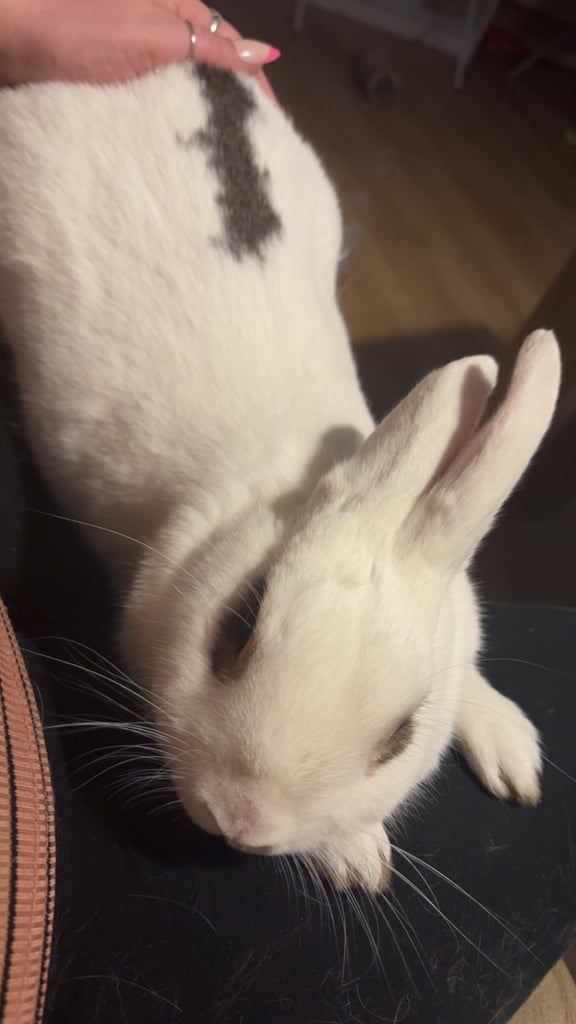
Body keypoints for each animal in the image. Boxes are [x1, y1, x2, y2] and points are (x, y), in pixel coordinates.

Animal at [0, 62, 561, 892]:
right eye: (238, 623)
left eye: (402, 735)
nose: (241, 818)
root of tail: (193, 69)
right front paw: (357, 856)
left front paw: (510, 748)